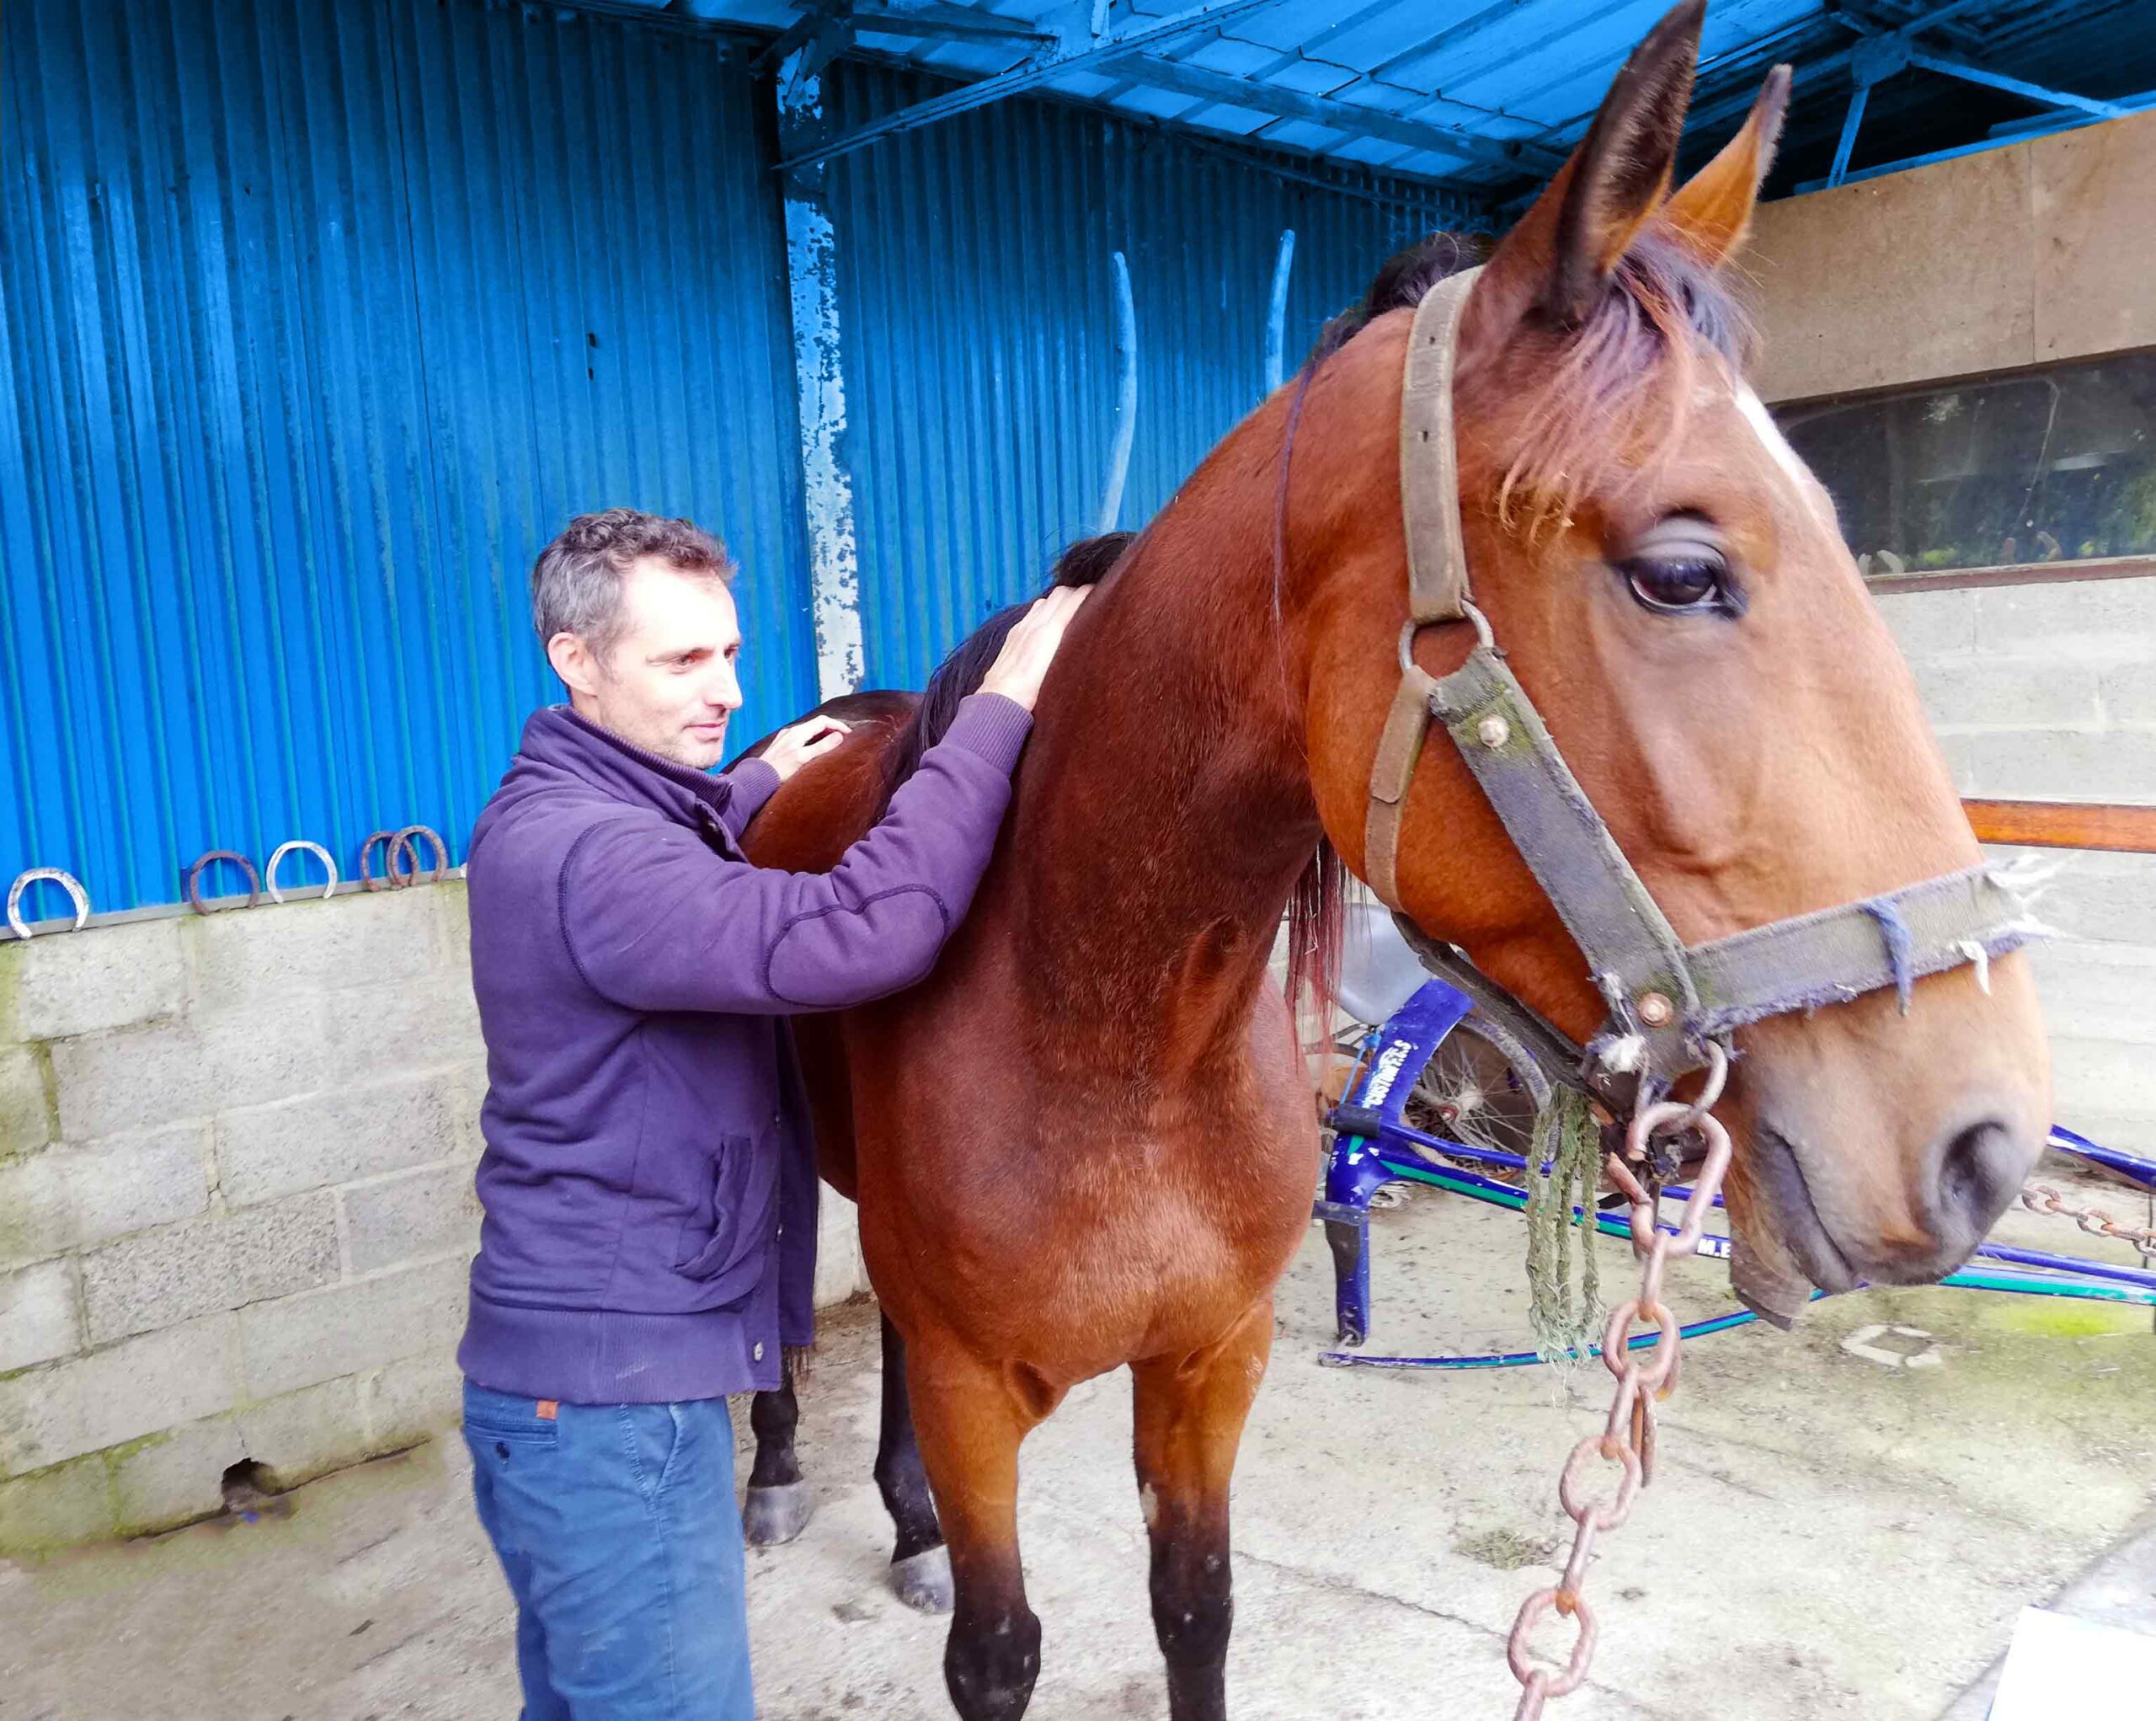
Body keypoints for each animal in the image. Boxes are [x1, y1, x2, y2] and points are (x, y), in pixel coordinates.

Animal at [736, 5, 2051, 1715]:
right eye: (1680, 571)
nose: (1985, 1145)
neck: (1099, 1030)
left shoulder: (1209, 1367)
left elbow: (1197, 1608)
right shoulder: (979, 1396)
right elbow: (1001, 1649)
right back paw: (786, 1478)